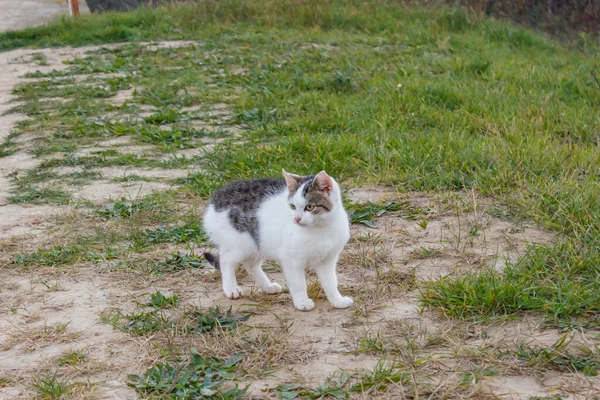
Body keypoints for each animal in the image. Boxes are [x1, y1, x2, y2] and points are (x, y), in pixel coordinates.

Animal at [203, 170, 352, 310]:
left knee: (250, 264)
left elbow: (331, 282)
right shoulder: (291, 260)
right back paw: (231, 288)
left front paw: (337, 300)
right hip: (238, 245)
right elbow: (298, 283)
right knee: (225, 260)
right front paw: (302, 302)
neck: (320, 228)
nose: (296, 219)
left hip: (258, 243)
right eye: (292, 206)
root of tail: (216, 198)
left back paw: (267, 287)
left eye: (310, 207)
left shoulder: (328, 260)